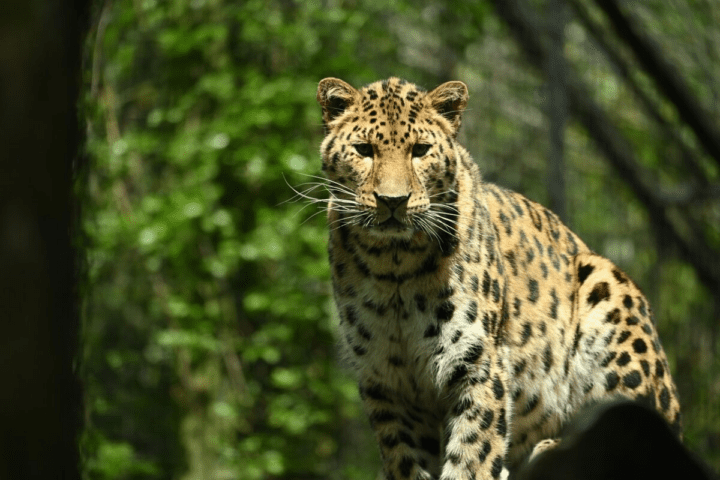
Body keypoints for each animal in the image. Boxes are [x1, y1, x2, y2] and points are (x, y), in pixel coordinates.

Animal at [314, 77, 680, 478]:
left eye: (420, 150)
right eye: (363, 150)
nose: (392, 201)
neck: (393, 264)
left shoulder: (478, 363)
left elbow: (473, 453)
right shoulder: (386, 381)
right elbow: (405, 460)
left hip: (606, 283)